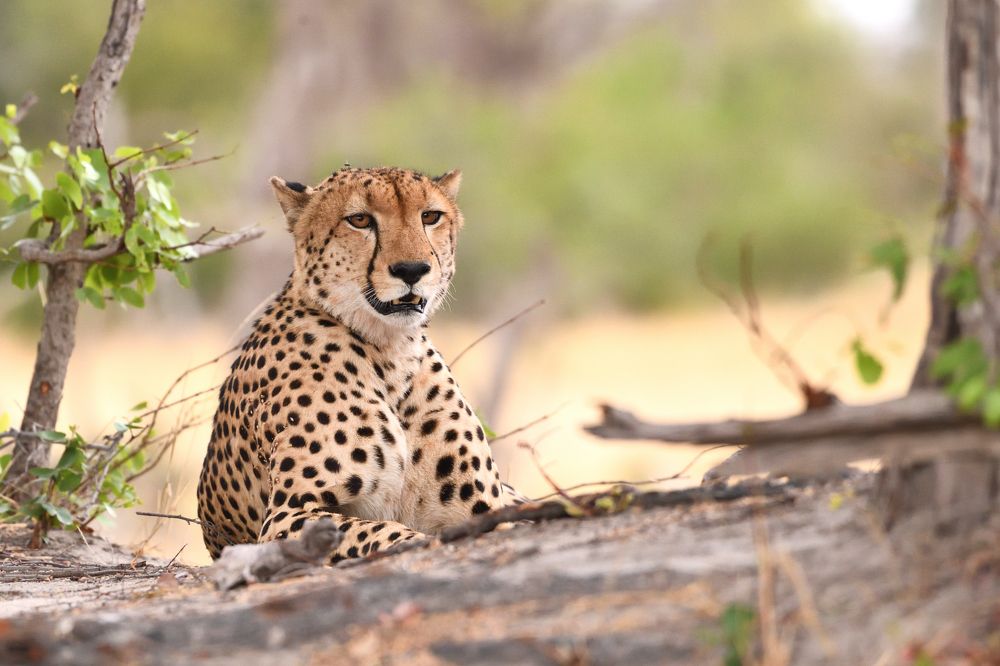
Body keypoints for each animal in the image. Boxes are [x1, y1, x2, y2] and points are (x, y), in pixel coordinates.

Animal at [196, 166, 521, 564]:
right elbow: (386, 533)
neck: (391, 352)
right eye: (360, 220)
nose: (411, 269)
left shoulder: (486, 506)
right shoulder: (286, 517)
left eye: (430, 216)